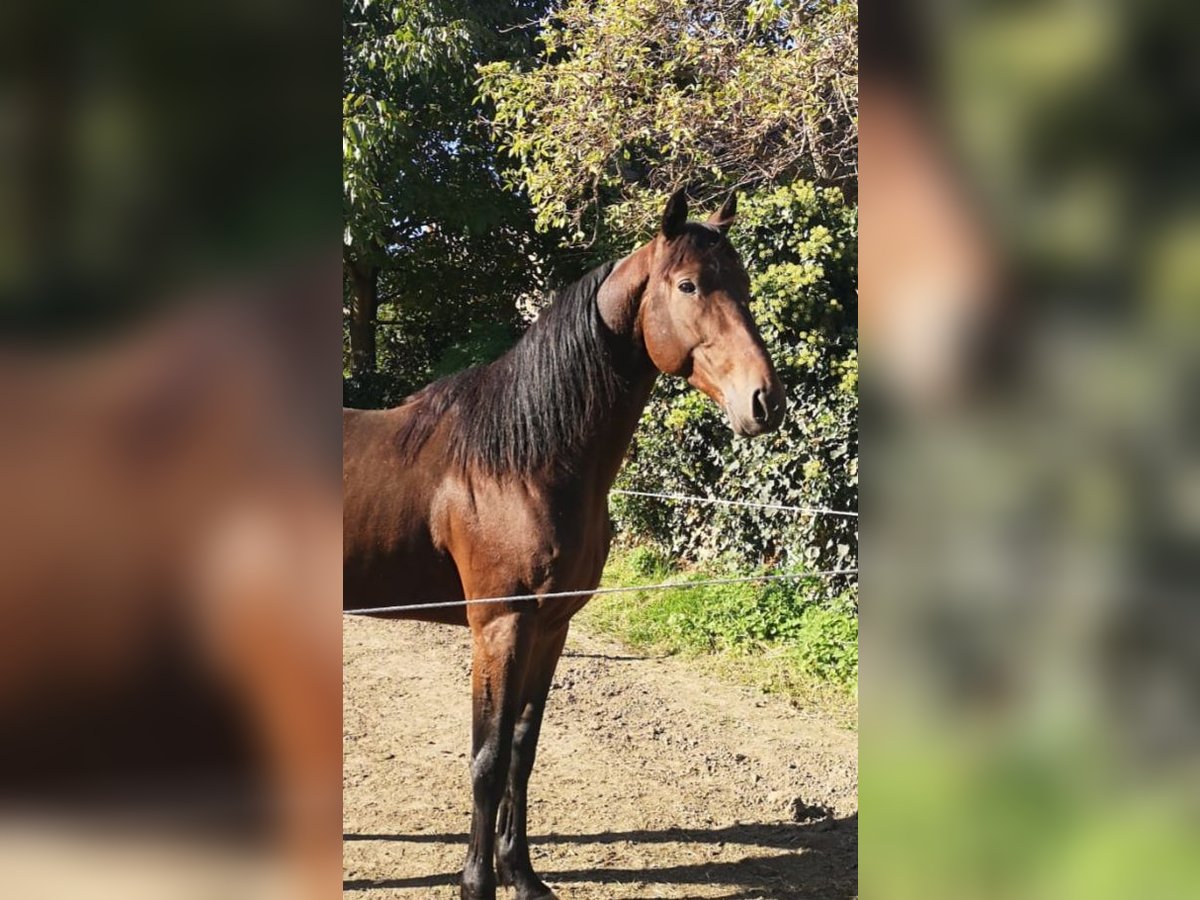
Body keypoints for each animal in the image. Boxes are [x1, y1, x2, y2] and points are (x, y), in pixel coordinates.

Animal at [343, 190, 782, 900]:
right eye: (688, 285)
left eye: (742, 286)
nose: (764, 401)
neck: (525, 459)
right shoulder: (500, 625)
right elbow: (488, 760)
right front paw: (478, 885)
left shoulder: (551, 627)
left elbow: (523, 753)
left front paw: (522, 876)